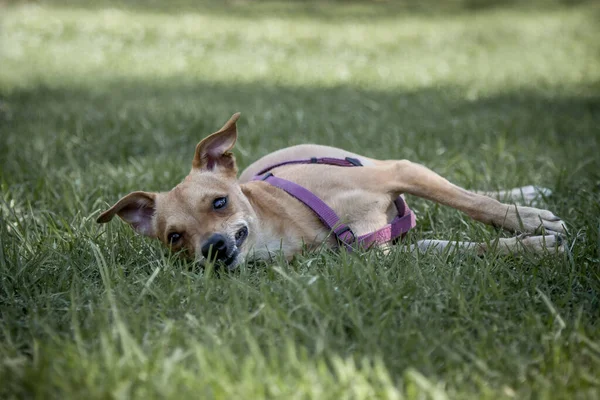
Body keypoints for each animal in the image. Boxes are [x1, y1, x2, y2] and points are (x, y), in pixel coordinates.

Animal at [97, 112, 568, 268]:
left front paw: (529, 223)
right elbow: (468, 247)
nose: (212, 248)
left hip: (388, 164)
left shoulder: (399, 171)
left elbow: (475, 204)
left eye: (219, 202)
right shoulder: (386, 251)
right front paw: (532, 246)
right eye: (175, 238)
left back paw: (529, 196)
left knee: (469, 189)